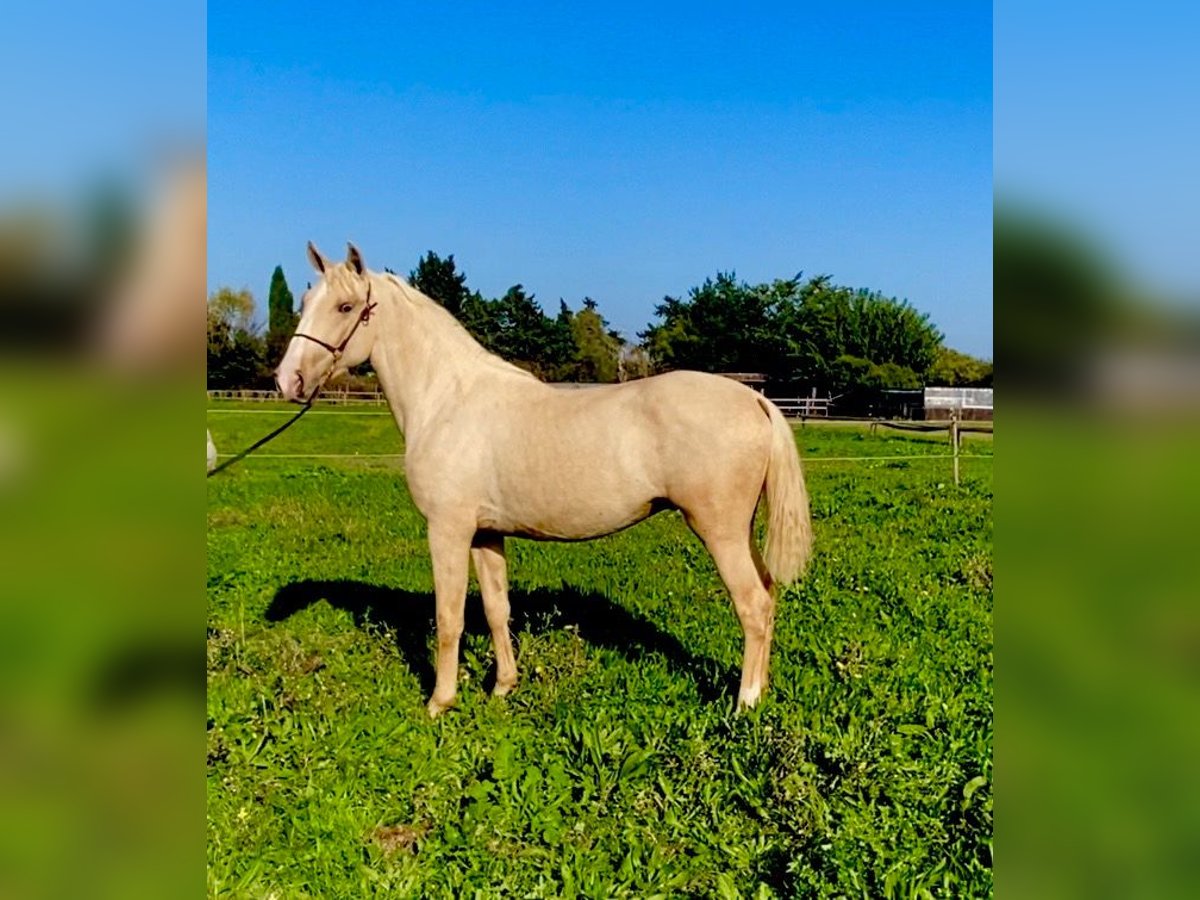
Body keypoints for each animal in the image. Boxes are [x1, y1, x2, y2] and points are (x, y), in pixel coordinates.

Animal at [276, 241, 811, 720]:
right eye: (306, 301)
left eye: (345, 306)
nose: (288, 381)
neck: (447, 398)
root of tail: (754, 399)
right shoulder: (485, 534)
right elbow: (496, 609)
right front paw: (503, 687)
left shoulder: (447, 530)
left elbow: (449, 618)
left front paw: (439, 703)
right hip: (740, 532)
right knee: (769, 596)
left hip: (718, 531)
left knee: (753, 606)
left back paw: (745, 705)